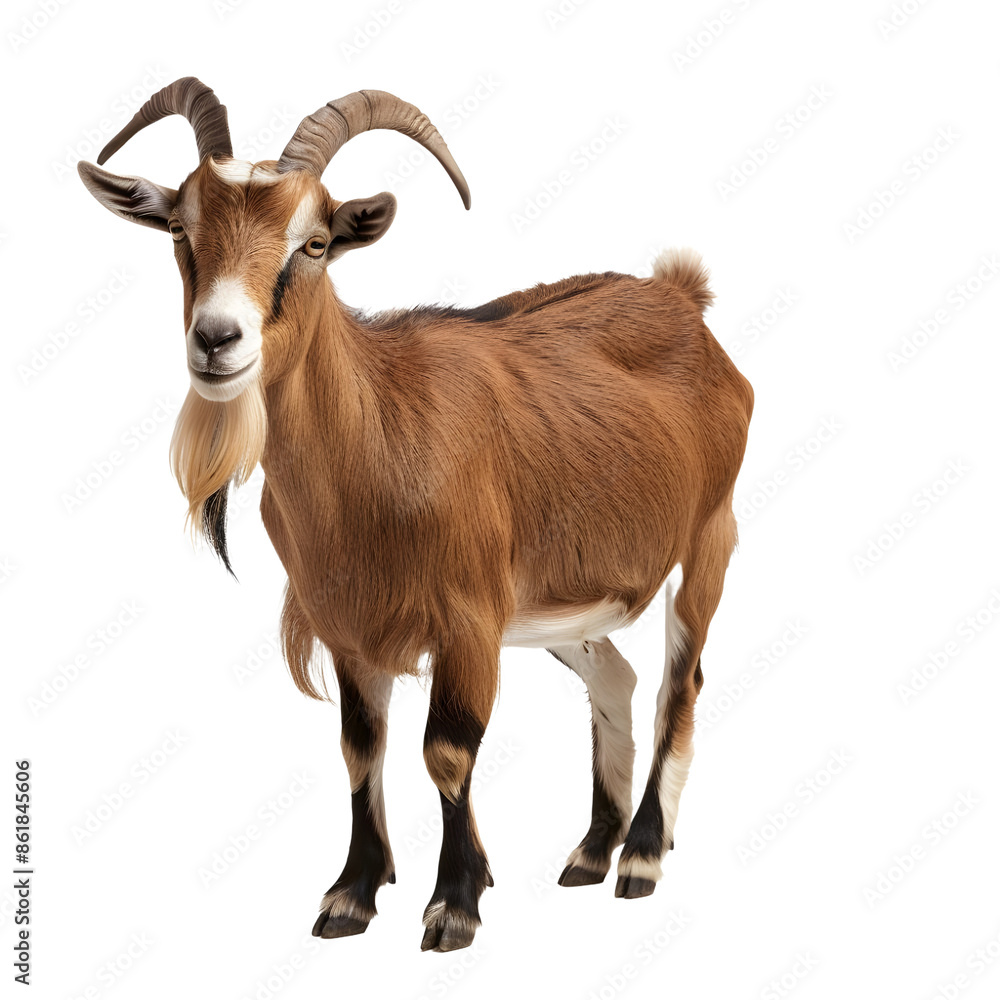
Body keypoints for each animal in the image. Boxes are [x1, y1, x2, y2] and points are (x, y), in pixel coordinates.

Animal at [78, 78, 754, 953]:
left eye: (314, 243)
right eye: (178, 232)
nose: (217, 340)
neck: (381, 433)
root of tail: (680, 294)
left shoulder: (468, 617)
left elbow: (447, 752)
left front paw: (455, 903)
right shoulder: (347, 626)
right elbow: (361, 750)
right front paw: (352, 895)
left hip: (709, 535)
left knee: (682, 678)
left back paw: (641, 855)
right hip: (561, 600)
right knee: (618, 675)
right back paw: (591, 850)